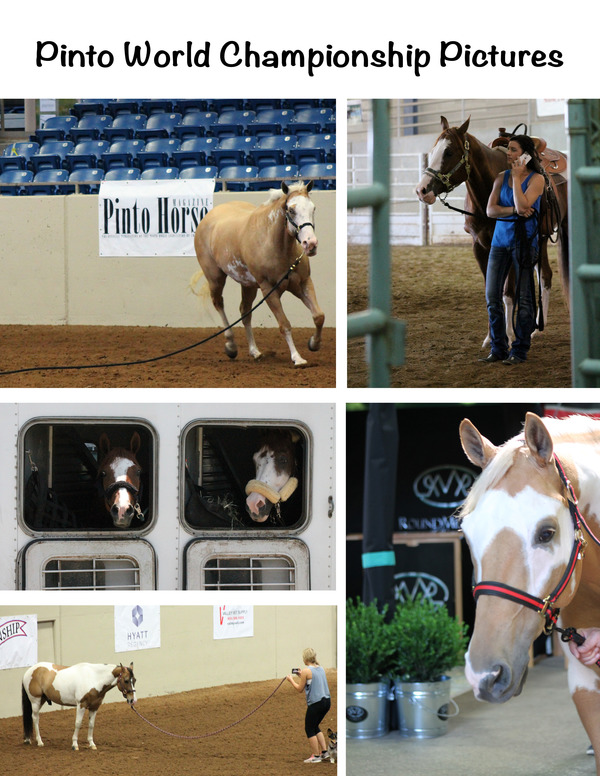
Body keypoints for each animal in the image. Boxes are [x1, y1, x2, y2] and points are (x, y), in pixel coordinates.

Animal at [193, 182, 326, 366]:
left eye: (313, 208)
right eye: (291, 210)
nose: (310, 244)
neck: (276, 246)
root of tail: (208, 217)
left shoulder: (303, 283)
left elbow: (319, 316)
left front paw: (314, 343)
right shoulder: (268, 289)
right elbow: (284, 325)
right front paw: (297, 358)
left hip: (248, 285)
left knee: (245, 311)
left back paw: (254, 351)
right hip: (215, 278)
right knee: (218, 303)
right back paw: (231, 345)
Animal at [414, 116, 568, 342]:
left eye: (448, 152)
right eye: (433, 151)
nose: (422, 190)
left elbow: (507, 292)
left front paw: (509, 335)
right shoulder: (479, 246)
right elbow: (491, 289)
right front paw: (491, 336)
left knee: (545, 276)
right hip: (538, 239)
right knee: (544, 275)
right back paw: (535, 326)